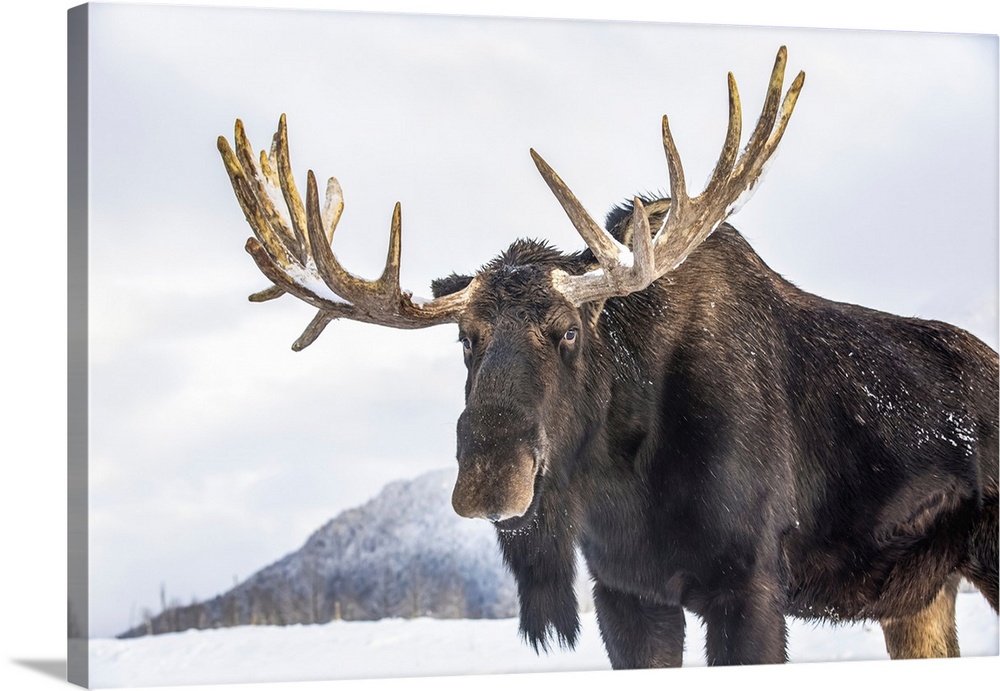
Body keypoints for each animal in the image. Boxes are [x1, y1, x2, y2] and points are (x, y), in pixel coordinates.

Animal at [218, 47, 999, 666]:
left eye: (568, 330)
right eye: (465, 338)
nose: (489, 476)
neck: (628, 476)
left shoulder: (748, 583)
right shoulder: (626, 592)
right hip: (919, 596)